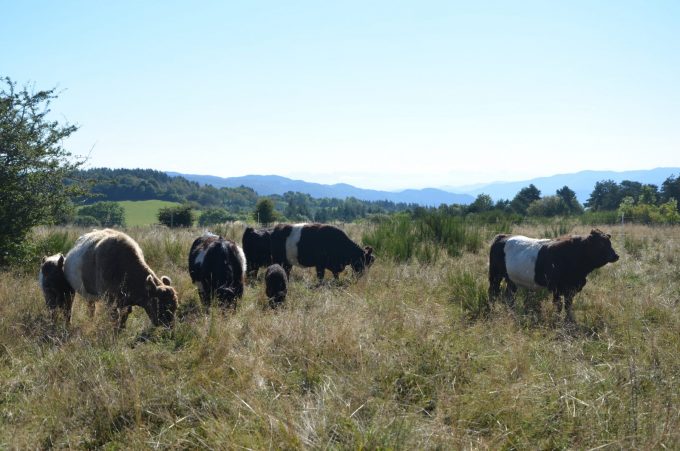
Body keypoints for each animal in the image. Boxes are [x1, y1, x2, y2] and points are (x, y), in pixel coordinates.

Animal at [486, 230, 620, 322]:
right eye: (601, 244)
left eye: (609, 243)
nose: (616, 255)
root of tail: (503, 236)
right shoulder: (556, 287)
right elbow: (559, 305)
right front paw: (557, 320)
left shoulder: (571, 288)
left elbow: (568, 305)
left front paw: (569, 320)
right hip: (495, 275)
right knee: (493, 292)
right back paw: (492, 310)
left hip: (511, 279)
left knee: (509, 296)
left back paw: (512, 312)